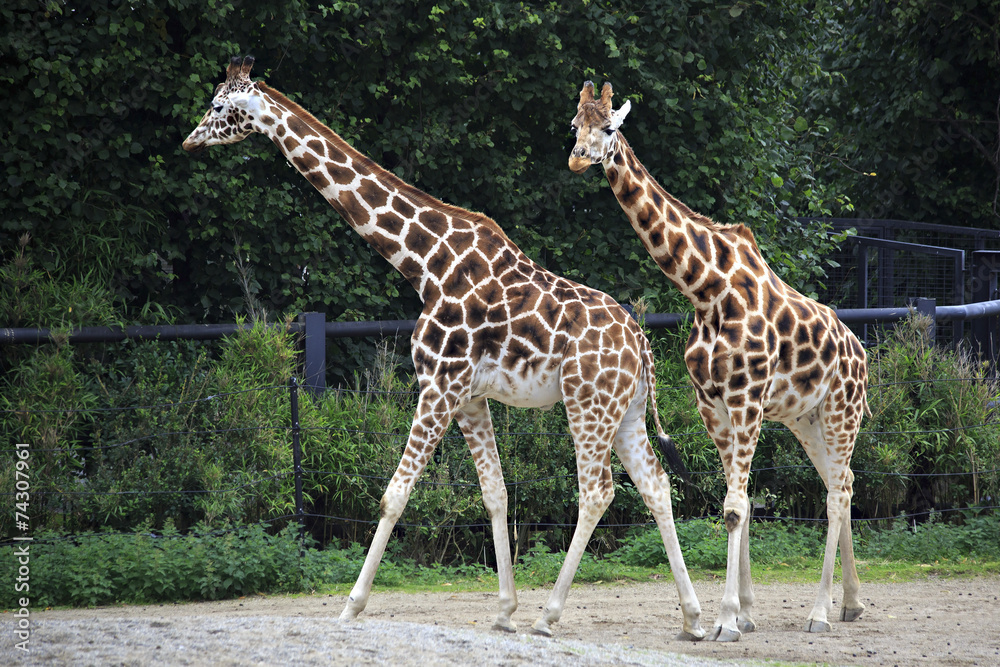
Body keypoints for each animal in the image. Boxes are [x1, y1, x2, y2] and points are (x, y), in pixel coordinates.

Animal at [183, 57, 705, 640]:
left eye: (219, 104)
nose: (189, 140)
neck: (424, 261)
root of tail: (642, 345)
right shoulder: (469, 397)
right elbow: (495, 493)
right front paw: (502, 611)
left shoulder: (437, 384)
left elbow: (394, 494)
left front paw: (351, 606)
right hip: (625, 410)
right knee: (655, 485)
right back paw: (692, 618)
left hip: (586, 404)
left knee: (597, 491)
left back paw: (549, 617)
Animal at [567, 81, 871, 642]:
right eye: (575, 124)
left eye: (610, 127)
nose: (579, 158)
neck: (705, 290)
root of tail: (861, 353)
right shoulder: (712, 404)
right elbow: (740, 505)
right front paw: (744, 613)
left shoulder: (746, 400)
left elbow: (734, 507)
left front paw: (726, 620)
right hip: (807, 419)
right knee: (842, 483)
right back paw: (853, 603)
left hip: (844, 411)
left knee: (837, 496)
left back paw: (820, 612)